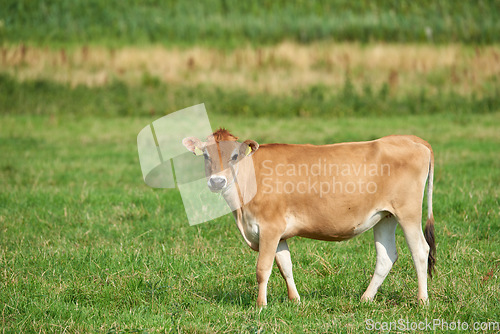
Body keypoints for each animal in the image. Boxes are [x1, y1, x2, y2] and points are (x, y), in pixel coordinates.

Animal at [182, 129, 436, 306]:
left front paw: (260, 304)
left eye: (235, 156)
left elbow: (263, 268)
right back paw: (366, 298)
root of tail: (410, 139)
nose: (217, 181)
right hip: (385, 216)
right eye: (206, 155)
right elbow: (285, 266)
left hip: (408, 211)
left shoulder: (270, 227)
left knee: (420, 250)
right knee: (386, 256)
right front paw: (295, 300)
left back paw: (422, 300)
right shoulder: (279, 233)